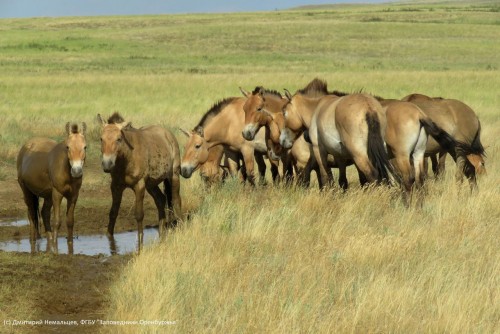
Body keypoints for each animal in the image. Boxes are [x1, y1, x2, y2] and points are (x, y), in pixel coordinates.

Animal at [16, 122, 87, 253]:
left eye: (85, 147)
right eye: (68, 147)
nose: (76, 171)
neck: (65, 170)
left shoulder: (73, 196)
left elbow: (70, 221)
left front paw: (70, 244)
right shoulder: (57, 194)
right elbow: (57, 221)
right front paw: (55, 245)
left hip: (47, 196)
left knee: (44, 213)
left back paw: (48, 239)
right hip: (27, 192)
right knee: (32, 215)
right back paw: (33, 240)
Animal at [96, 112, 181, 248]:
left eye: (119, 139)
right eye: (101, 139)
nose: (107, 164)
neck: (127, 159)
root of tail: (168, 134)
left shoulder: (139, 185)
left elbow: (139, 214)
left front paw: (140, 240)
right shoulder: (116, 186)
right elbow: (113, 212)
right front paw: (109, 237)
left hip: (173, 176)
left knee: (176, 200)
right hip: (151, 184)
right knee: (161, 200)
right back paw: (162, 230)